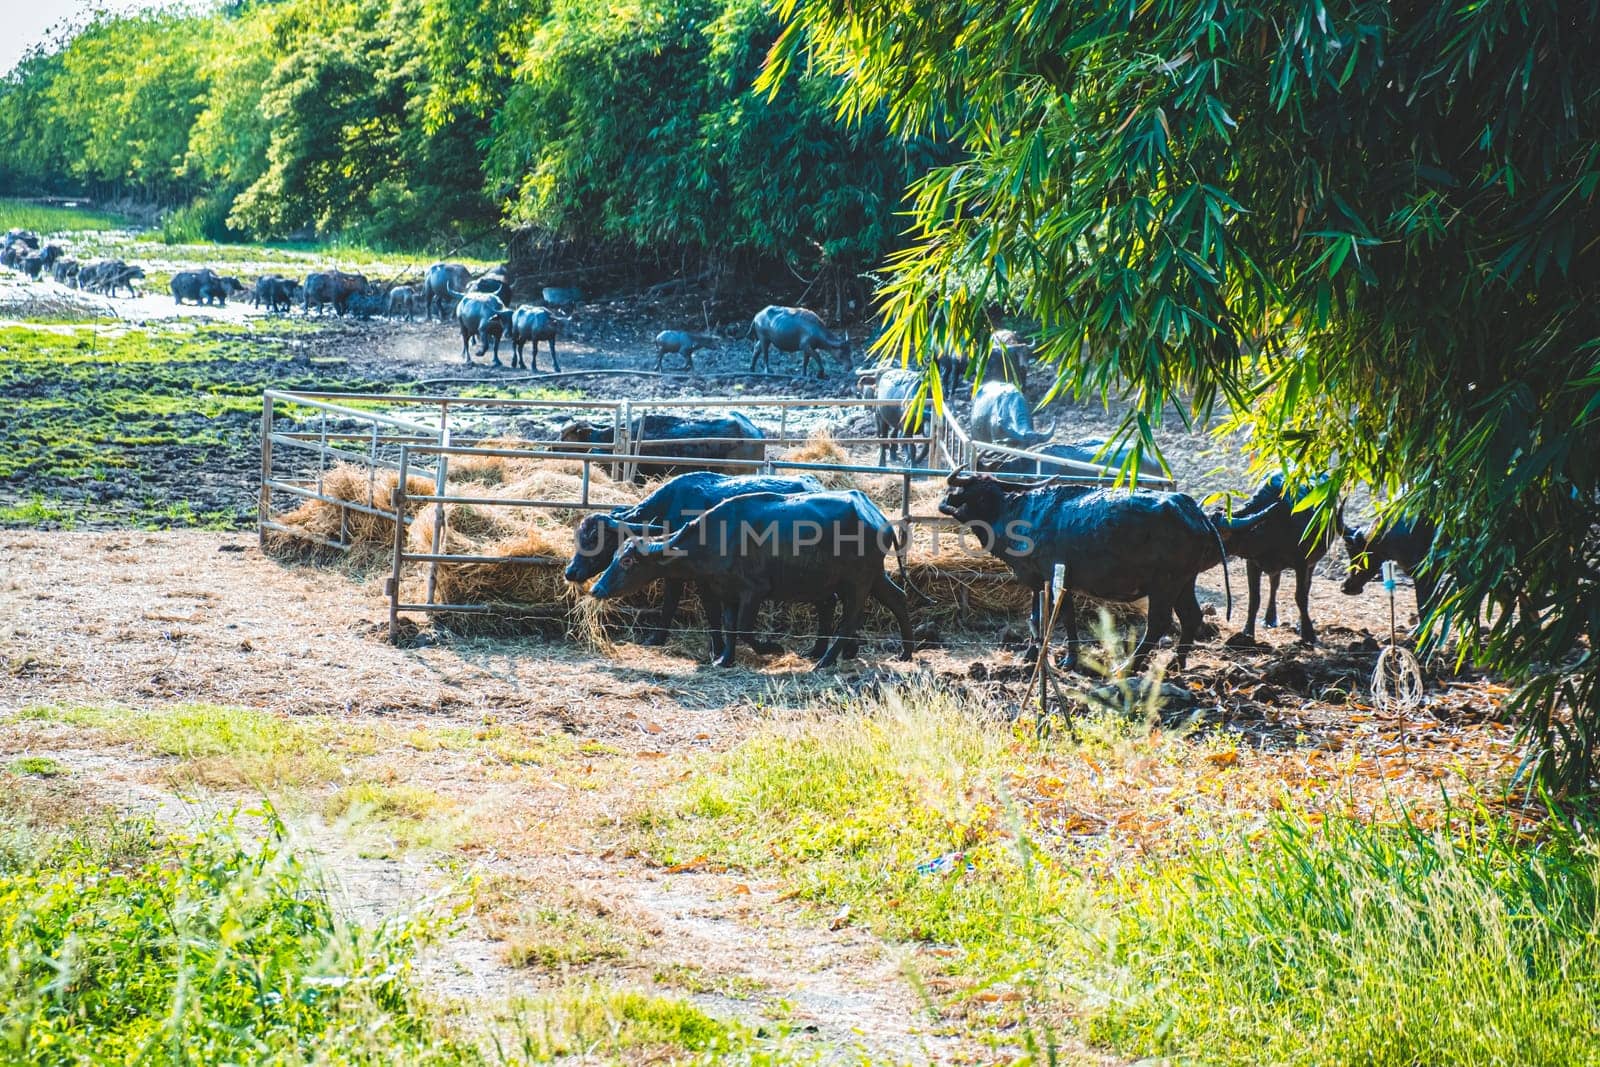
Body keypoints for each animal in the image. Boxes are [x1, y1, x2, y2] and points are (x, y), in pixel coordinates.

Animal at [566, 470, 825, 646]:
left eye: (596, 539)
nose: (570, 571)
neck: (672, 510)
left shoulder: (702, 578)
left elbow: (708, 610)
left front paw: (717, 647)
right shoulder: (673, 573)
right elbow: (669, 604)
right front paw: (657, 638)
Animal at [588, 489, 915, 668]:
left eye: (628, 561)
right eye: (615, 556)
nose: (597, 588)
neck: (717, 537)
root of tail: (878, 518)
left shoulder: (753, 592)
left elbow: (745, 629)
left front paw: (772, 648)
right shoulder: (728, 593)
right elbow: (730, 627)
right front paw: (724, 659)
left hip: (857, 582)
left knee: (850, 618)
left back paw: (824, 661)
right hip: (874, 576)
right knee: (898, 599)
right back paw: (905, 653)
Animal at [934, 473, 1222, 668]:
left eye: (984, 495)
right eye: (976, 494)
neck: (1021, 516)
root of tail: (1195, 513)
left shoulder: (1054, 578)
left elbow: (1062, 617)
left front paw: (1068, 660)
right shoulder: (1042, 581)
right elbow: (1039, 617)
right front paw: (1033, 655)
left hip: (1164, 585)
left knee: (1158, 623)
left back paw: (1128, 667)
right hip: (1185, 582)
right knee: (1191, 616)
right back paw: (1177, 662)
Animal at [1209, 473, 1337, 643]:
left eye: (1217, 535)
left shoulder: (1302, 563)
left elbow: (1300, 597)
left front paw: (1308, 634)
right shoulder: (1252, 563)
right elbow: (1254, 599)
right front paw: (1248, 632)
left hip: (1312, 563)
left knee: (1306, 586)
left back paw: (1299, 623)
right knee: (1274, 585)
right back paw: (1270, 618)